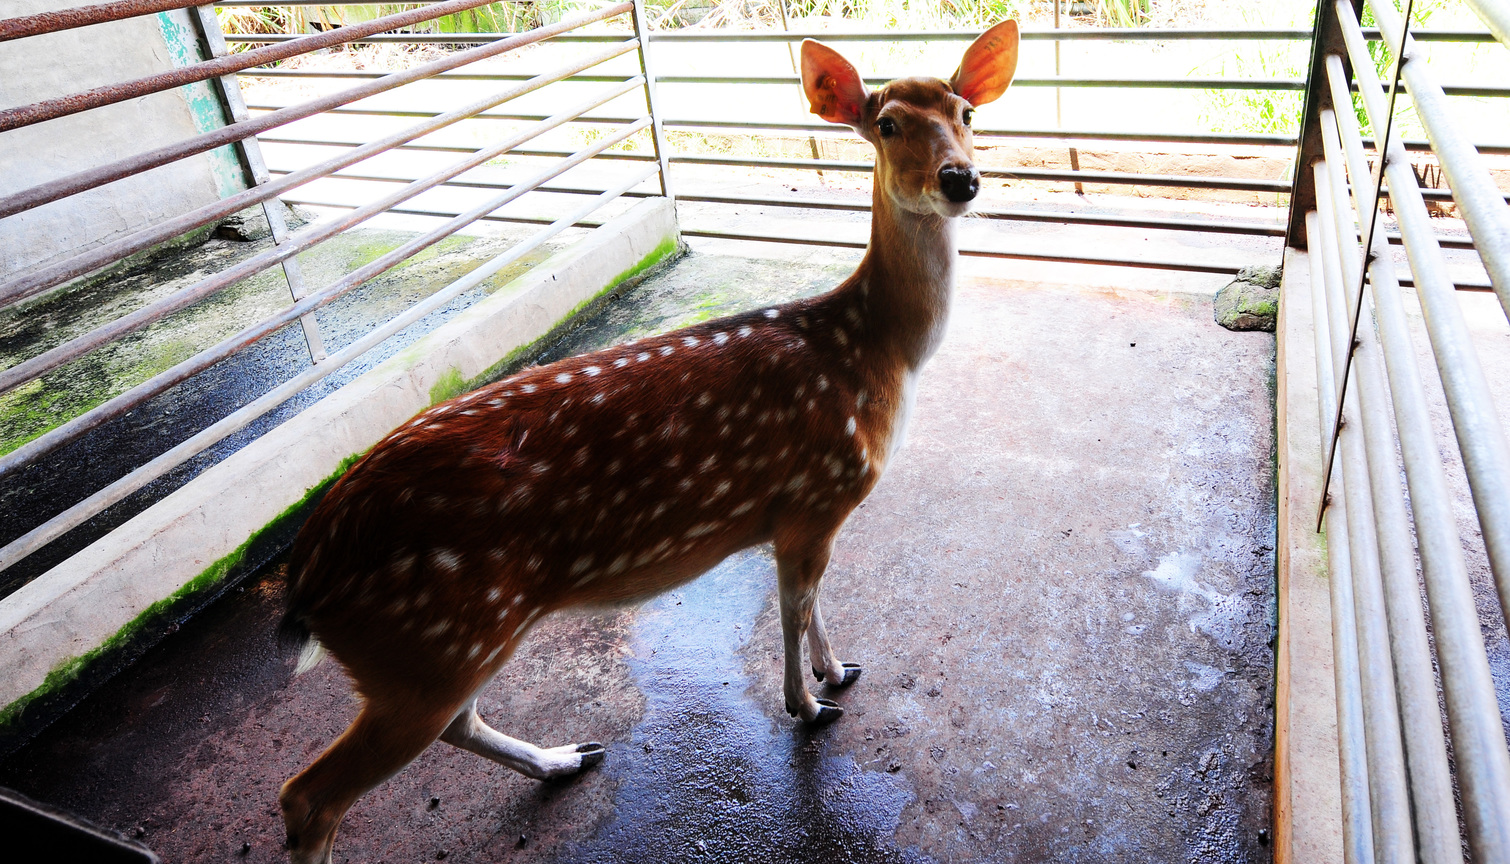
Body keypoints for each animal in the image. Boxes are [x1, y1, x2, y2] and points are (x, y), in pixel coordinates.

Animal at [276, 21, 1019, 863]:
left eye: (966, 112)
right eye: (887, 123)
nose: (960, 180)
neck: (875, 354)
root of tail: (306, 583)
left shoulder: (801, 516)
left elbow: (811, 603)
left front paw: (838, 672)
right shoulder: (815, 494)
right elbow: (794, 606)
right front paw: (807, 706)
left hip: (430, 655)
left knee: (452, 726)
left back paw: (564, 758)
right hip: (426, 642)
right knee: (308, 796)